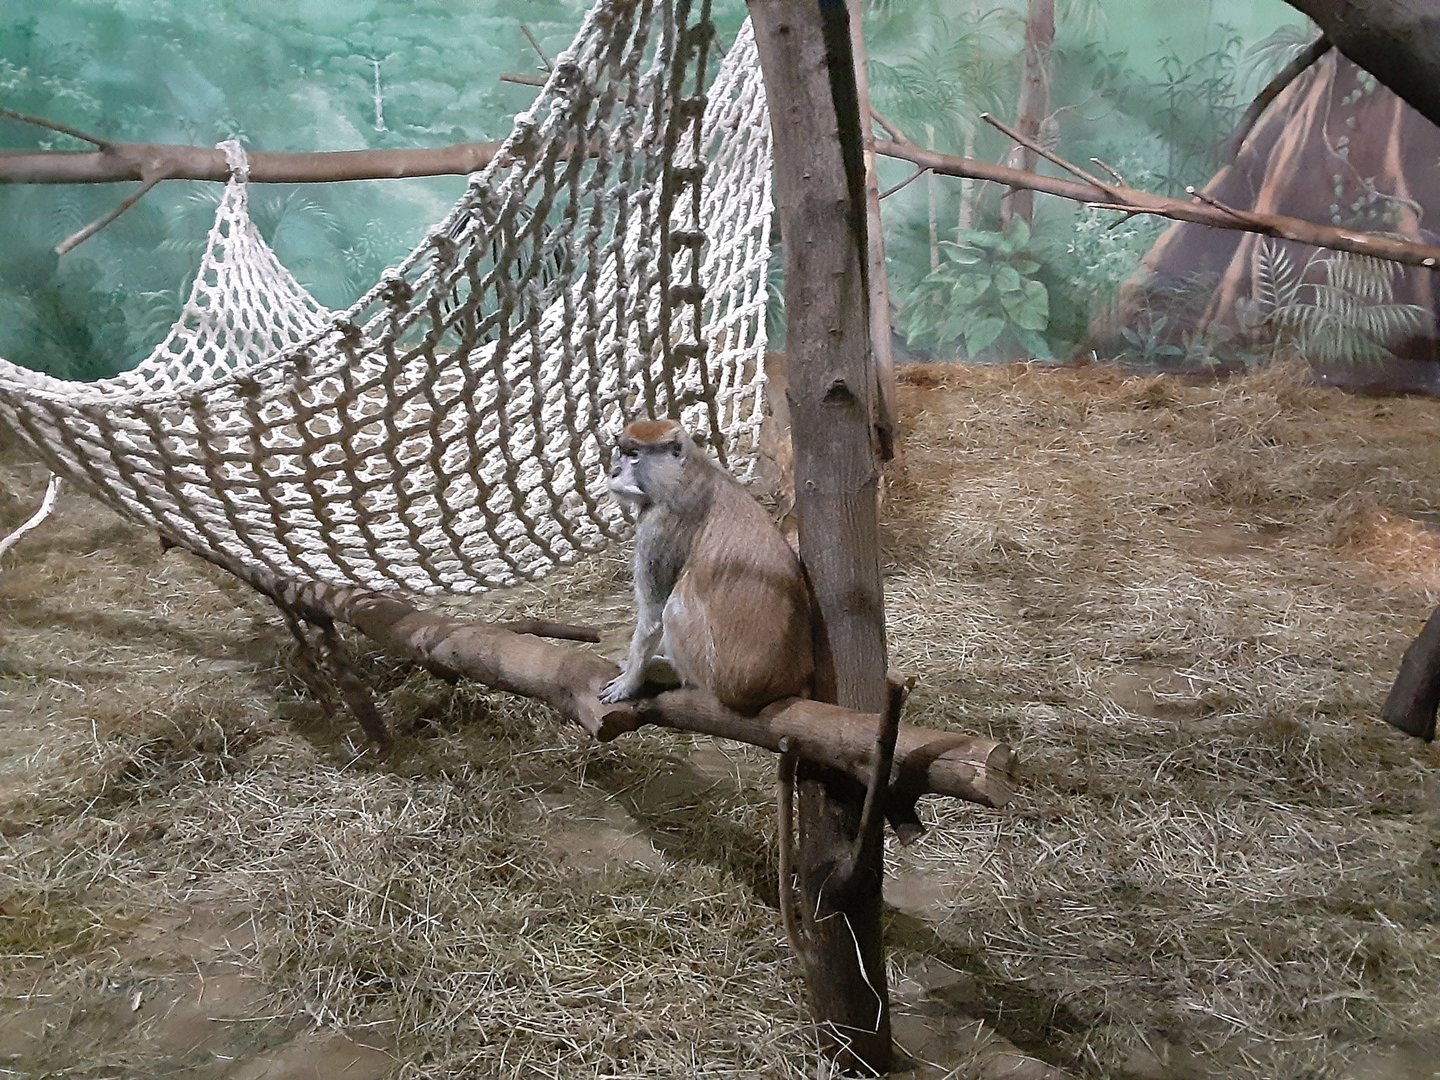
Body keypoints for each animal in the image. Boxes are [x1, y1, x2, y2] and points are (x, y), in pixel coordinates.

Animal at [598, 418, 814, 714]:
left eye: (634, 455)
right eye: (621, 452)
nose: (614, 471)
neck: (685, 472)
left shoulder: (659, 524)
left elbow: (653, 613)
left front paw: (629, 681)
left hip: (713, 673)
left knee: (673, 609)